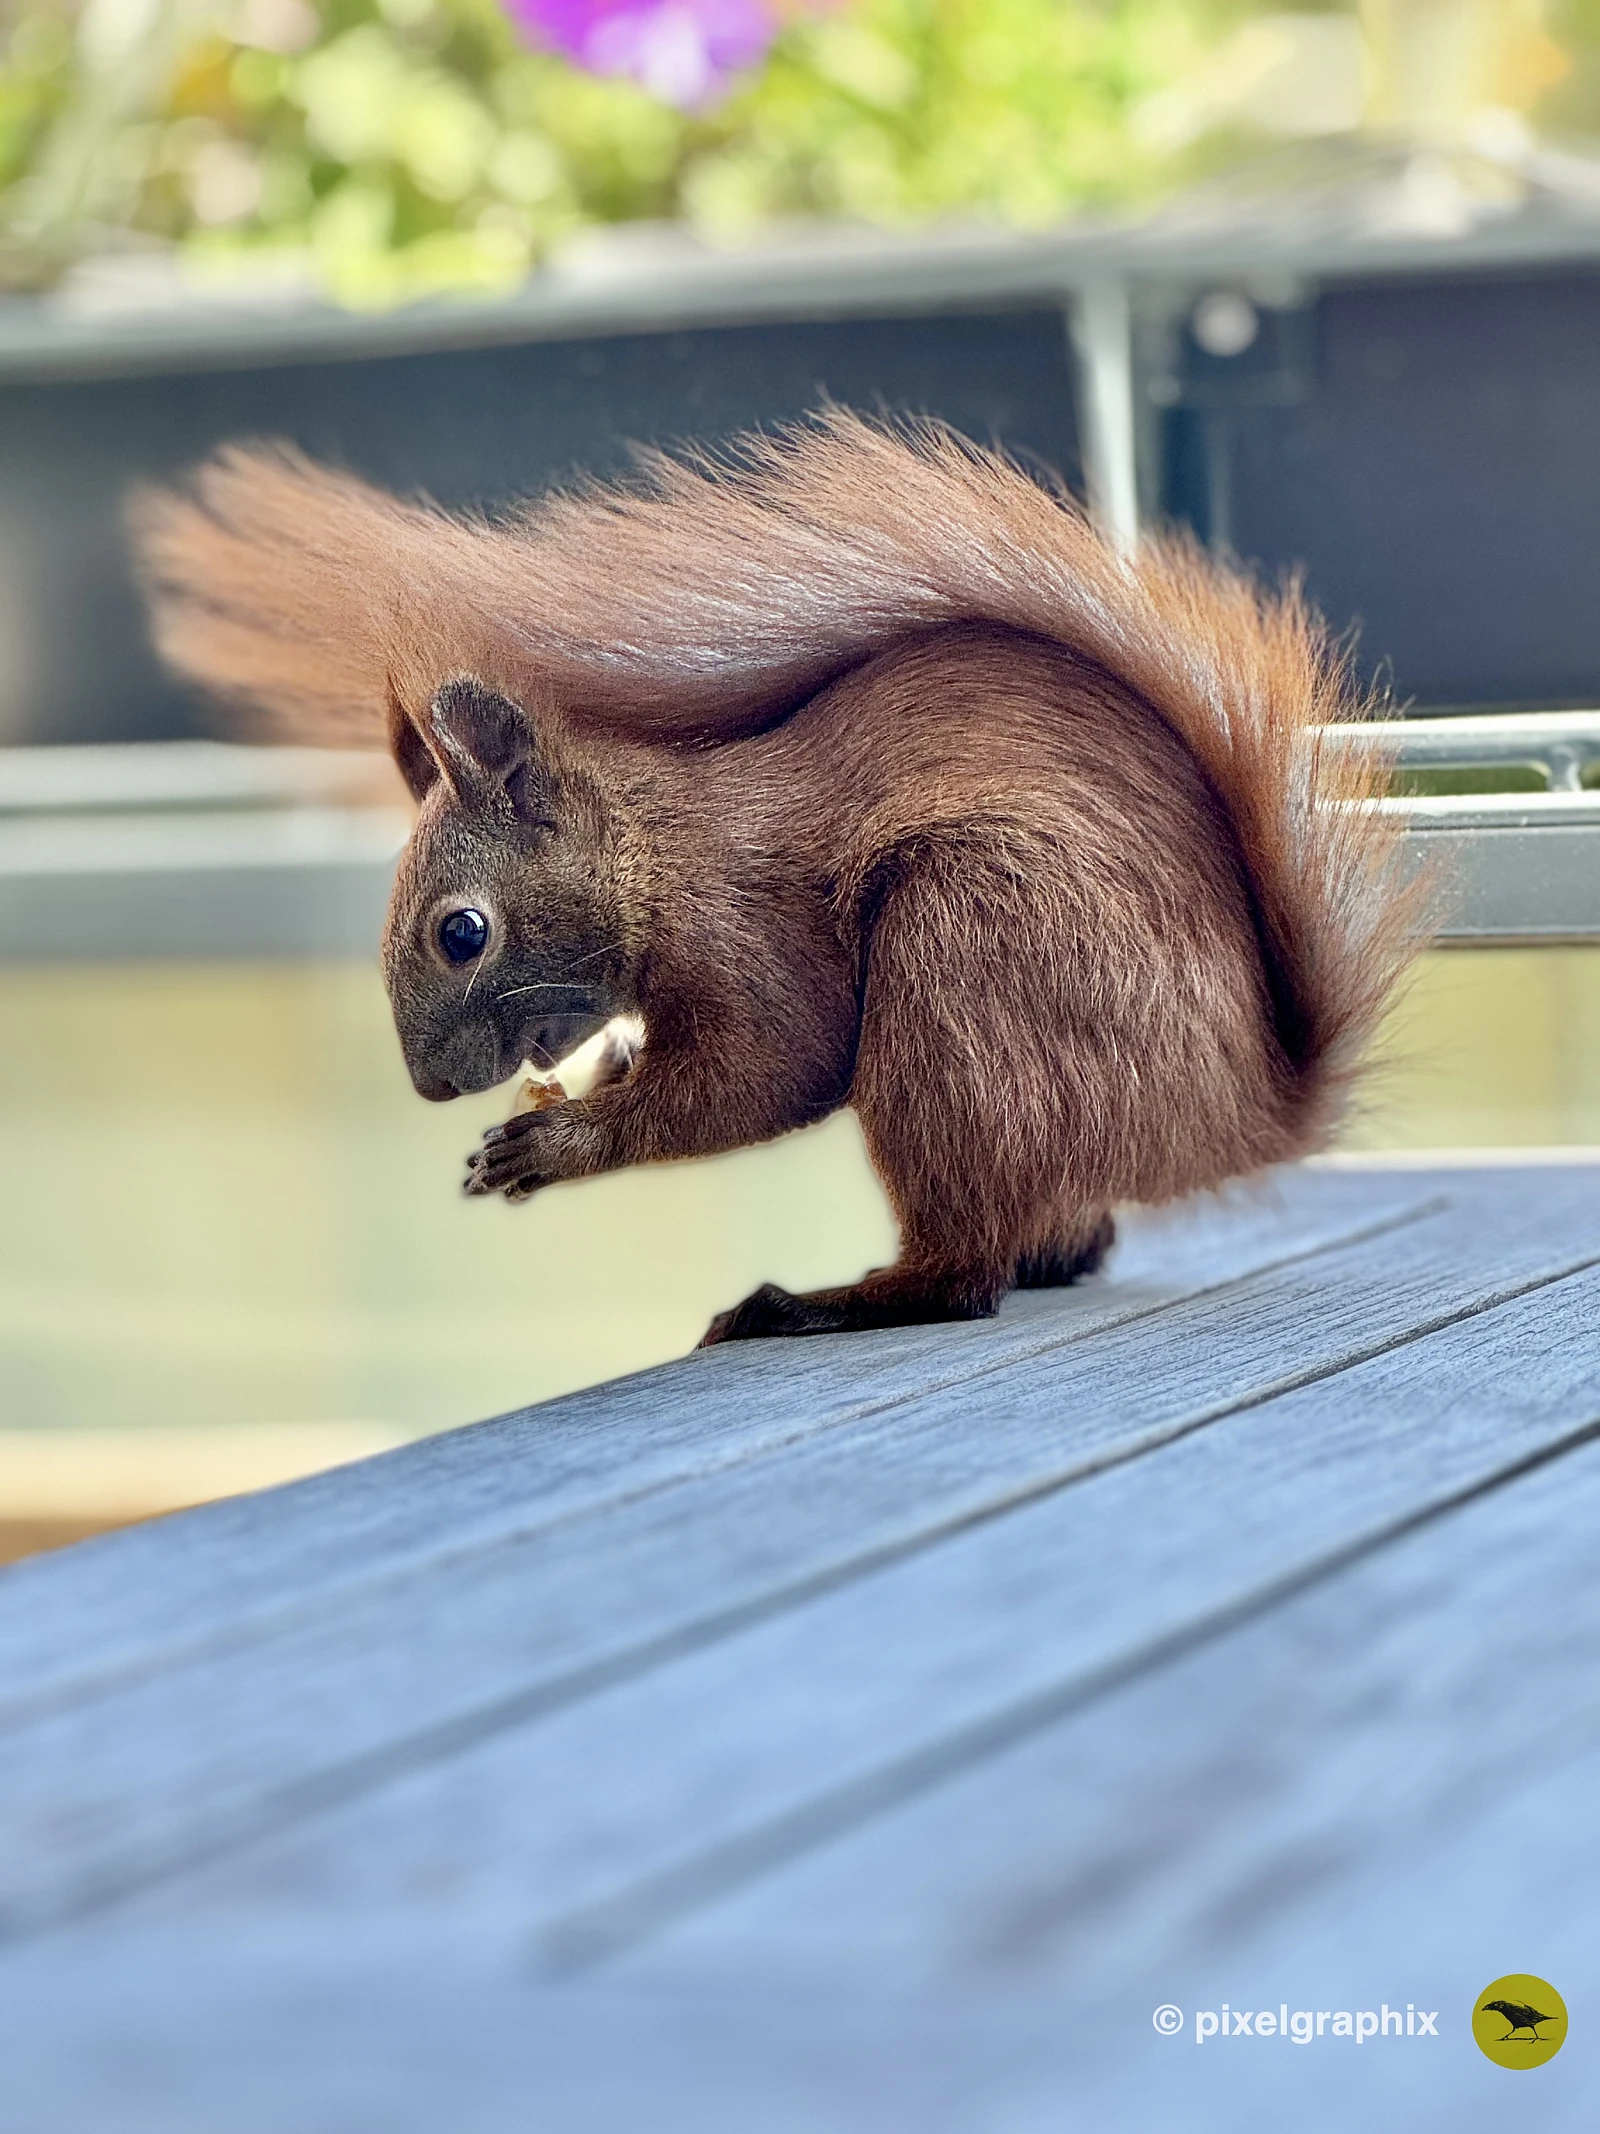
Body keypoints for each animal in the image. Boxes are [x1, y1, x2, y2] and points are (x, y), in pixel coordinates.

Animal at [133, 412, 1424, 1342]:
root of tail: (1237, 1110)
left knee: (963, 1274)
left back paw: (820, 1304)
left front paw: (554, 1146)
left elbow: (772, 1067)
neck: (653, 850)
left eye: (462, 932)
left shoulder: (742, 925)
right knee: (1057, 1238)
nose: (430, 1086)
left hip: (971, 966)